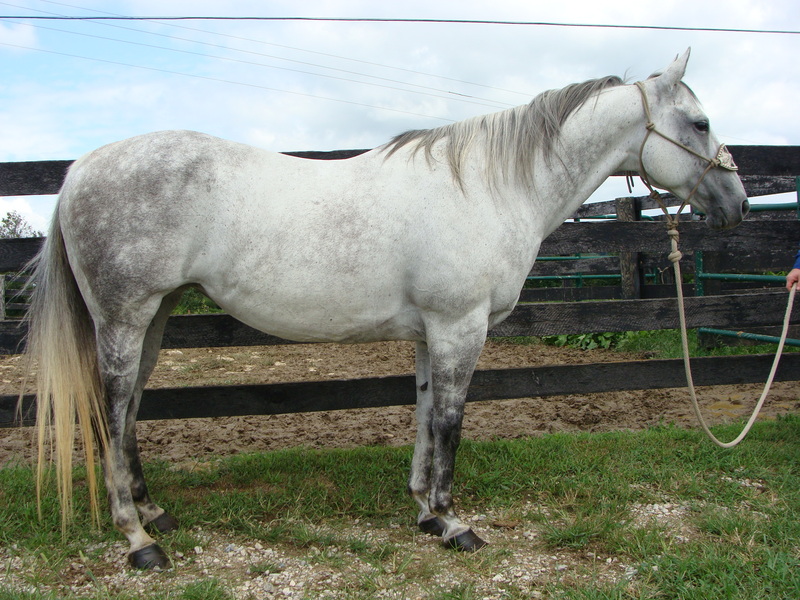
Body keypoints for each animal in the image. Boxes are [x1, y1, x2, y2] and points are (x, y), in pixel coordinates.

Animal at [25, 49, 748, 569]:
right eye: (700, 122)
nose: (738, 203)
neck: (488, 186)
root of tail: (81, 169)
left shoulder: (432, 331)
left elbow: (426, 414)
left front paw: (426, 511)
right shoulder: (460, 327)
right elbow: (451, 421)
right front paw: (455, 523)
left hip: (155, 316)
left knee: (129, 408)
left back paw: (154, 516)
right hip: (124, 318)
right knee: (111, 408)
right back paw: (138, 541)